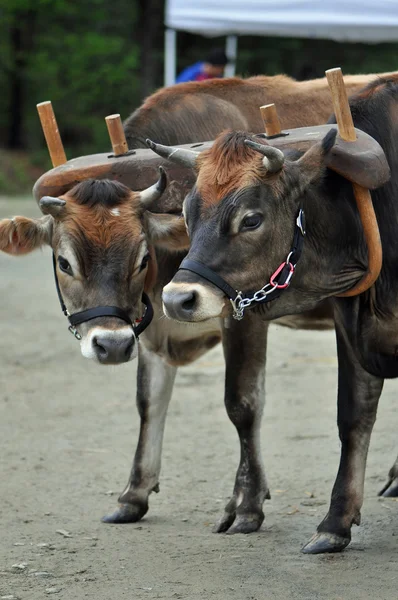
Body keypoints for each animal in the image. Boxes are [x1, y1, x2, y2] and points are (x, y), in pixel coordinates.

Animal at [148, 75, 398, 552]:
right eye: (187, 212)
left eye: (251, 219)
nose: (177, 299)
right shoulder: (350, 321)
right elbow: (353, 414)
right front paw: (335, 522)